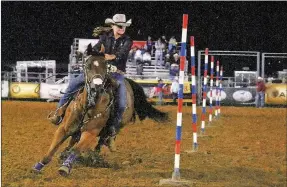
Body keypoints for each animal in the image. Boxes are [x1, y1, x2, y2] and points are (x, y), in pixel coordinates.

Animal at [33, 53, 169, 177]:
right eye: (88, 66)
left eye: (105, 67)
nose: (96, 87)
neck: (87, 106)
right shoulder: (64, 128)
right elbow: (53, 148)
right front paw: (38, 166)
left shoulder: (91, 132)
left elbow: (77, 149)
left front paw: (65, 167)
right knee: (74, 139)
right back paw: (64, 152)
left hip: (110, 128)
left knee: (100, 142)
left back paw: (95, 155)